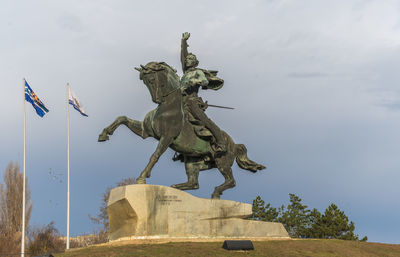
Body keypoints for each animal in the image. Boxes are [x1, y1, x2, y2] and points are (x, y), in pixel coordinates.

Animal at [97, 61, 266, 197]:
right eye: (144, 82)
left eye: (151, 79)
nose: (156, 99)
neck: (167, 107)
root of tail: (234, 144)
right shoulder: (146, 131)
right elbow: (122, 118)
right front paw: (104, 134)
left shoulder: (167, 137)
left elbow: (155, 156)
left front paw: (142, 177)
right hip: (193, 161)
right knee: (194, 183)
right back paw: (175, 187)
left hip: (222, 161)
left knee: (231, 181)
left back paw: (215, 193)